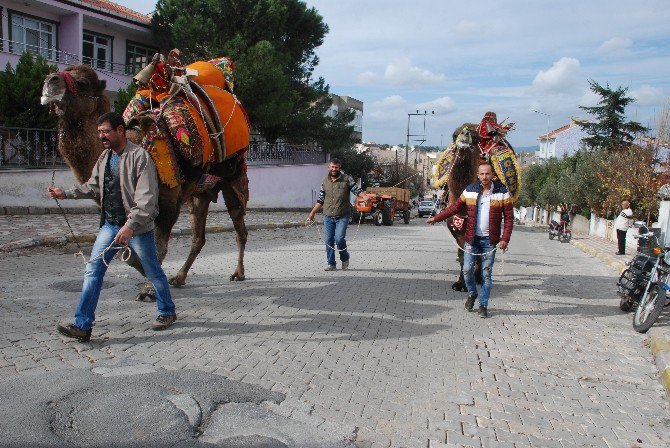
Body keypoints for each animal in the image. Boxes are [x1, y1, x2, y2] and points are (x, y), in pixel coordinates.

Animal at [42, 50, 252, 300]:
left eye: (82, 83)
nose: (50, 80)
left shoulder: (169, 200)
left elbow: (159, 246)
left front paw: (150, 289)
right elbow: (129, 248)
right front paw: (146, 273)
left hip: (233, 180)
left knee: (240, 228)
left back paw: (238, 273)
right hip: (200, 193)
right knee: (198, 237)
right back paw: (179, 277)